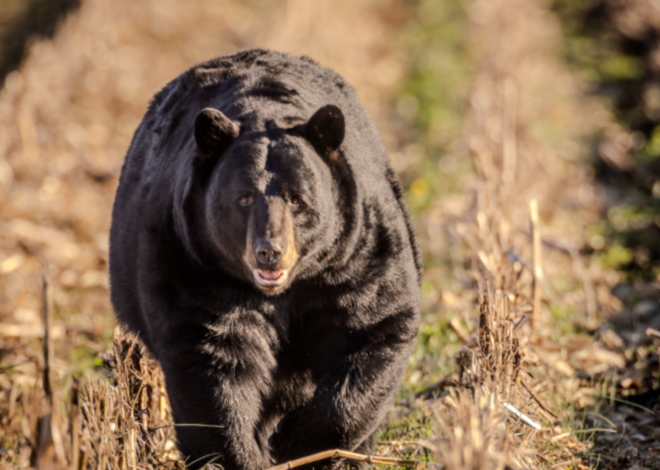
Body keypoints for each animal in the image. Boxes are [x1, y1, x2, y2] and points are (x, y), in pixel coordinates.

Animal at [109, 49, 421, 470]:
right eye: (243, 198)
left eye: (296, 198)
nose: (268, 251)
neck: (286, 290)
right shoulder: (194, 266)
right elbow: (213, 360)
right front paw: (240, 455)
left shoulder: (355, 258)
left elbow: (375, 326)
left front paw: (301, 445)